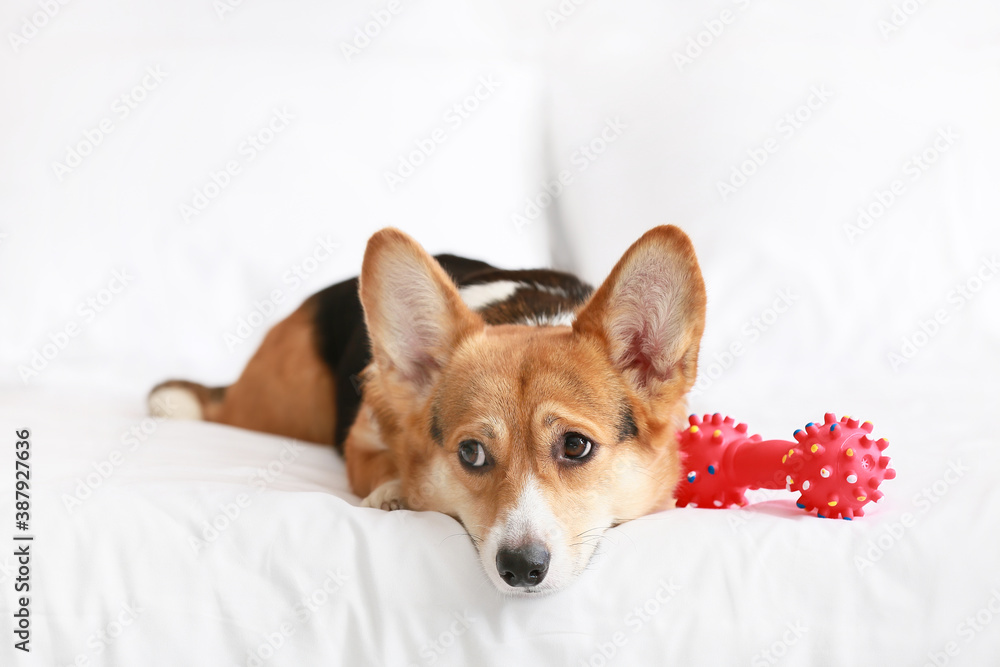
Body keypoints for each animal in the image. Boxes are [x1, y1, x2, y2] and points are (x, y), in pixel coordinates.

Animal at [152, 227, 708, 596]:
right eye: (472, 453)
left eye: (575, 446)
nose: (520, 569)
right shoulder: (362, 439)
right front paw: (395, 493)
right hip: (278, 404)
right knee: (219, 403)